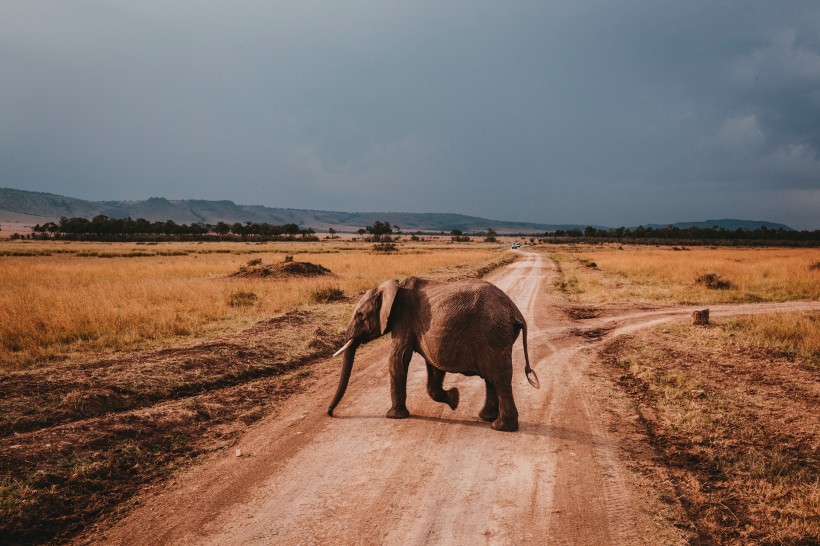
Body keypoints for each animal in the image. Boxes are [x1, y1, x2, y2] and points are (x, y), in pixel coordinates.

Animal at [326, 276, 540, 430]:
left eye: (360, 315)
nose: (330, 413)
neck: (393, 286)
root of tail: (515, 311)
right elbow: (433, 366)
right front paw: (454, 400)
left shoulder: (404, 320)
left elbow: (398, 359)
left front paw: (394, 416)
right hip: (496, 335)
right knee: (491, 377)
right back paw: (486, 418)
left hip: (494, 333)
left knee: (499, 377)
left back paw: (501, 427)